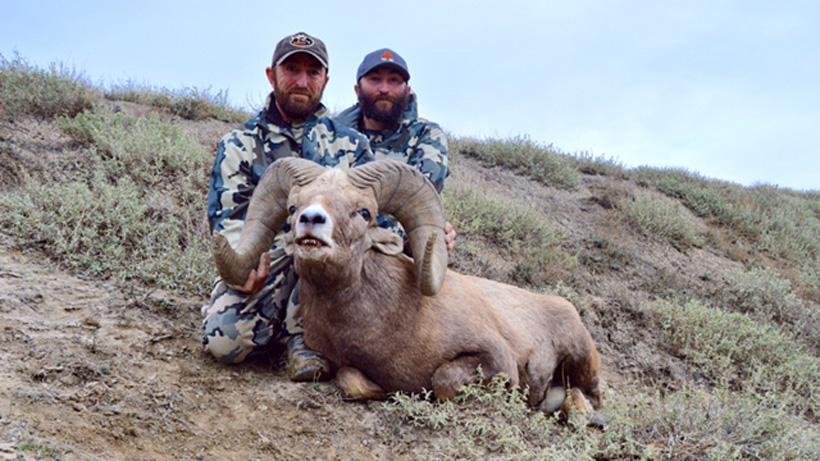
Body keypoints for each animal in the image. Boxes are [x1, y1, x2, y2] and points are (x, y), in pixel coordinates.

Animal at [212, 158, 603, 415]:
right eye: (293, 207)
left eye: (364, 213)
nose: (311, 220)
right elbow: (351, 380)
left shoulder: (494, 360)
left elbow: (443, 382)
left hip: (583, 358)